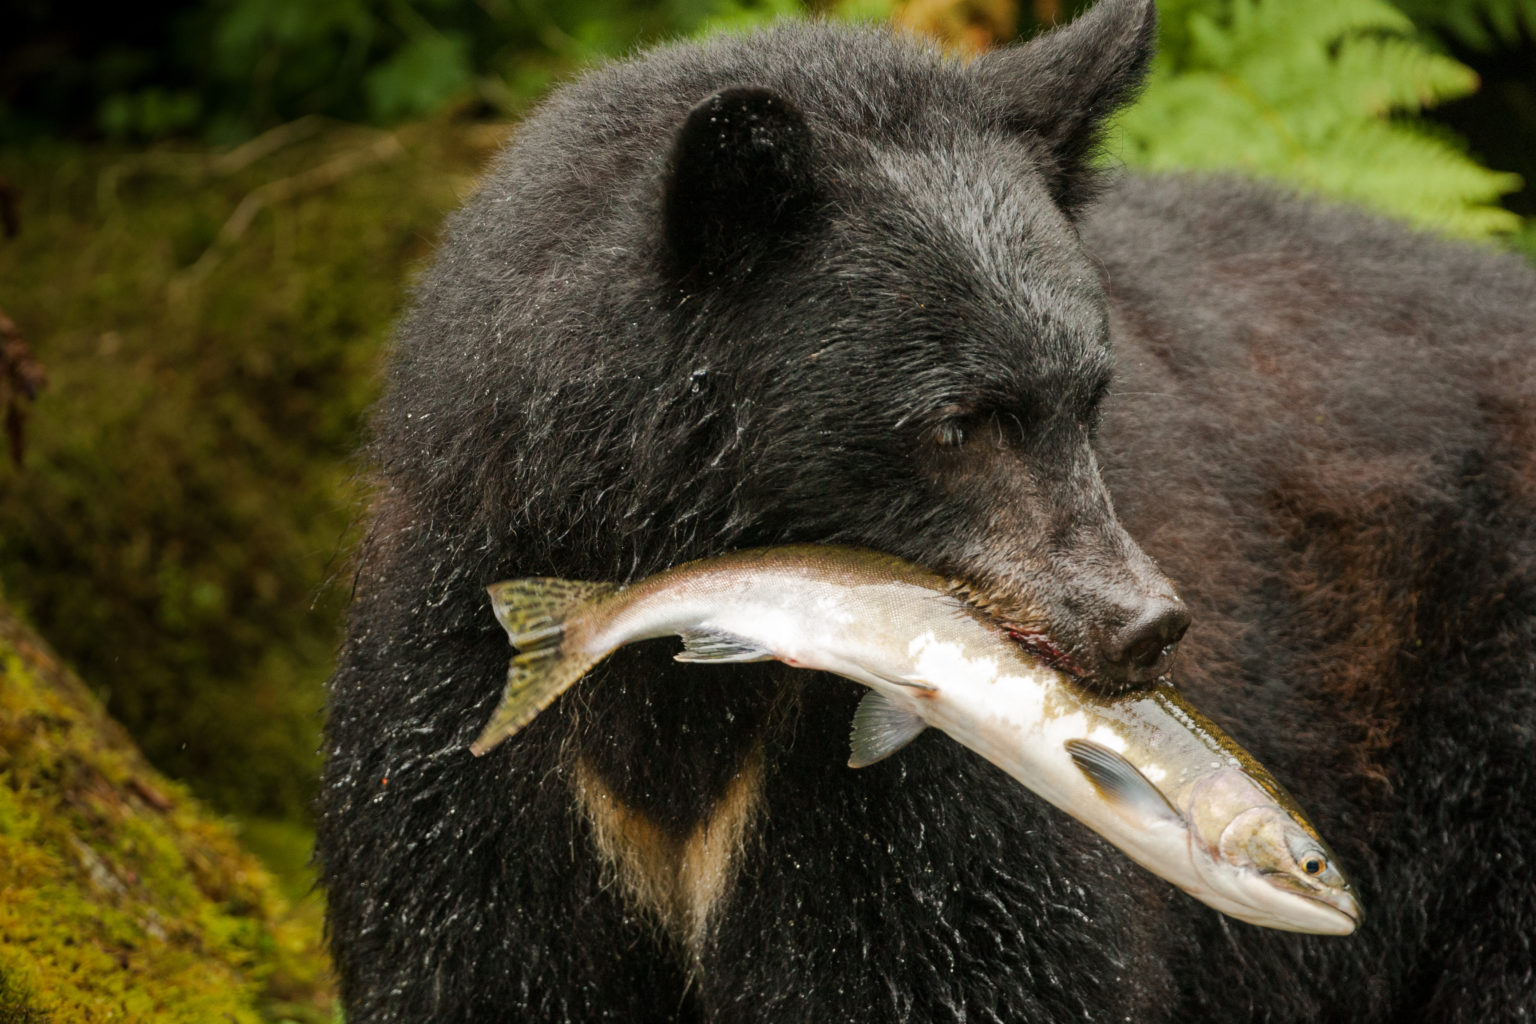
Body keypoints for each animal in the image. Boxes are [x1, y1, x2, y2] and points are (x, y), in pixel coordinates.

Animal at [314, 4, 1536, 1019]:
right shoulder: (471, 725)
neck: (677, 703)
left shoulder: (906, 815)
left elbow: (949, 963)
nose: (1145, 625)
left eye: (1092, 396)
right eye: (955, 422)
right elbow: (478, 953)